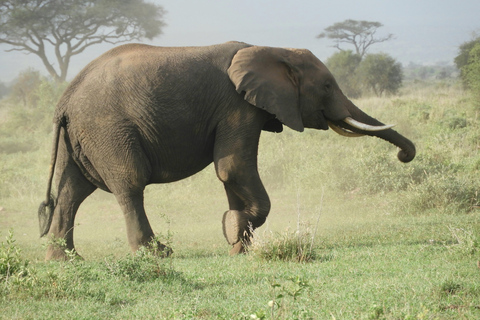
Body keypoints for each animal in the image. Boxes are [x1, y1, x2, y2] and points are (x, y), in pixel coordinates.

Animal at [37, 41, 414, 260]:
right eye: (326, 86)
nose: (404, 155)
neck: (271, 50)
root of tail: (64, 101)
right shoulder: (237, 106)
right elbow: (233, 166)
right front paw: (234, 230)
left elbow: (231, 173)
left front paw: (237, 242)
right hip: (108, 129)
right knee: (129, 184)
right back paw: (157, 253)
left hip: (82, 137)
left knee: (72, 190)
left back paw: (66, 260)